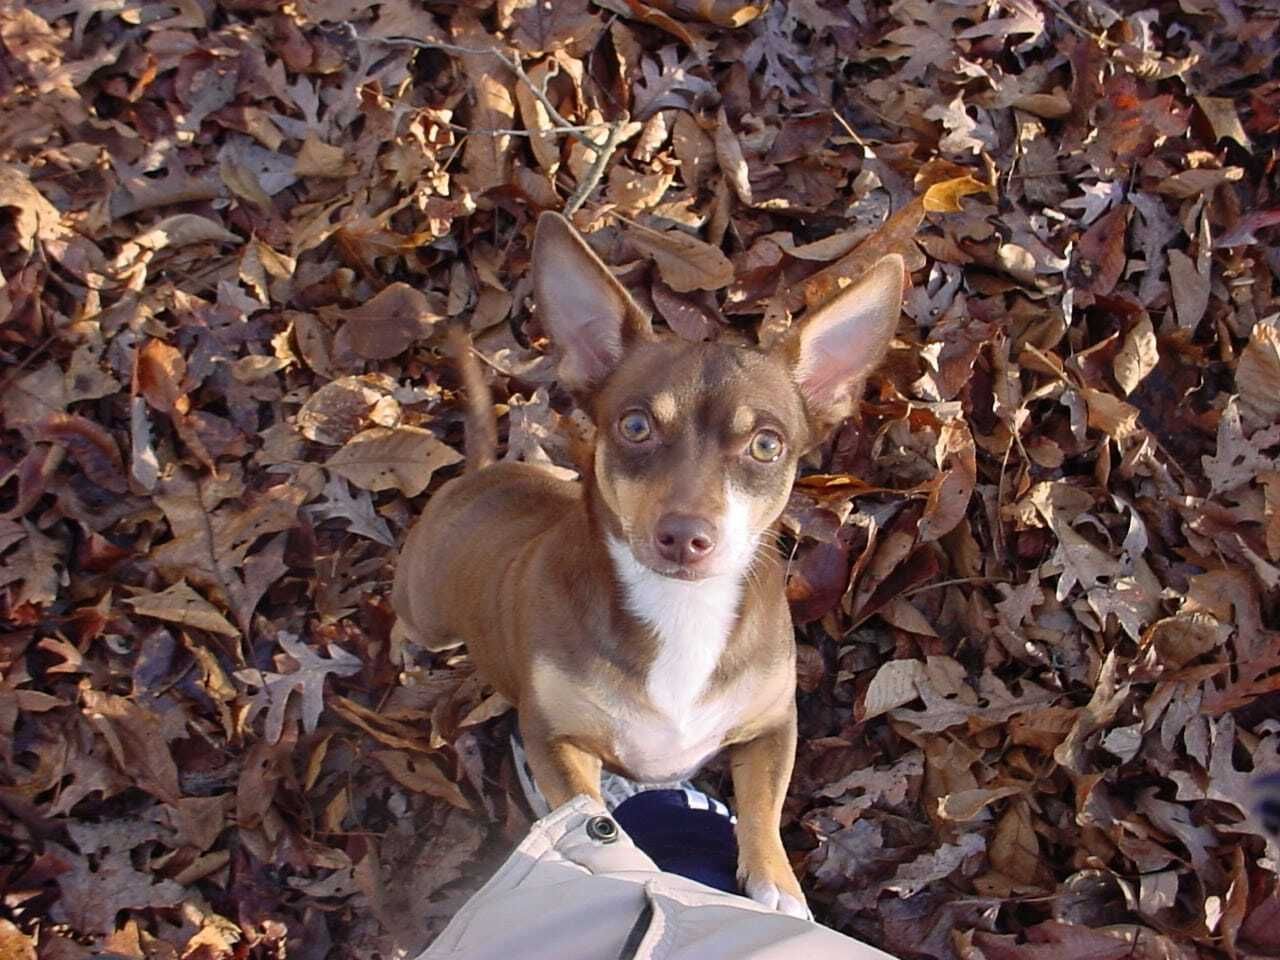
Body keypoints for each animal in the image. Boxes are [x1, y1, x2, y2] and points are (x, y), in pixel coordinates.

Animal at [392, 212, 905, 918]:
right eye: (635, 426)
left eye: (766, 445)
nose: (685, 536)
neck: (680, 611)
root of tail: (476, 476)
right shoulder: (554, 740)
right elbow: (601, 824)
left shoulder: (773, 727)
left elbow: (763, 809)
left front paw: (775, 888)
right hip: (430, 616)